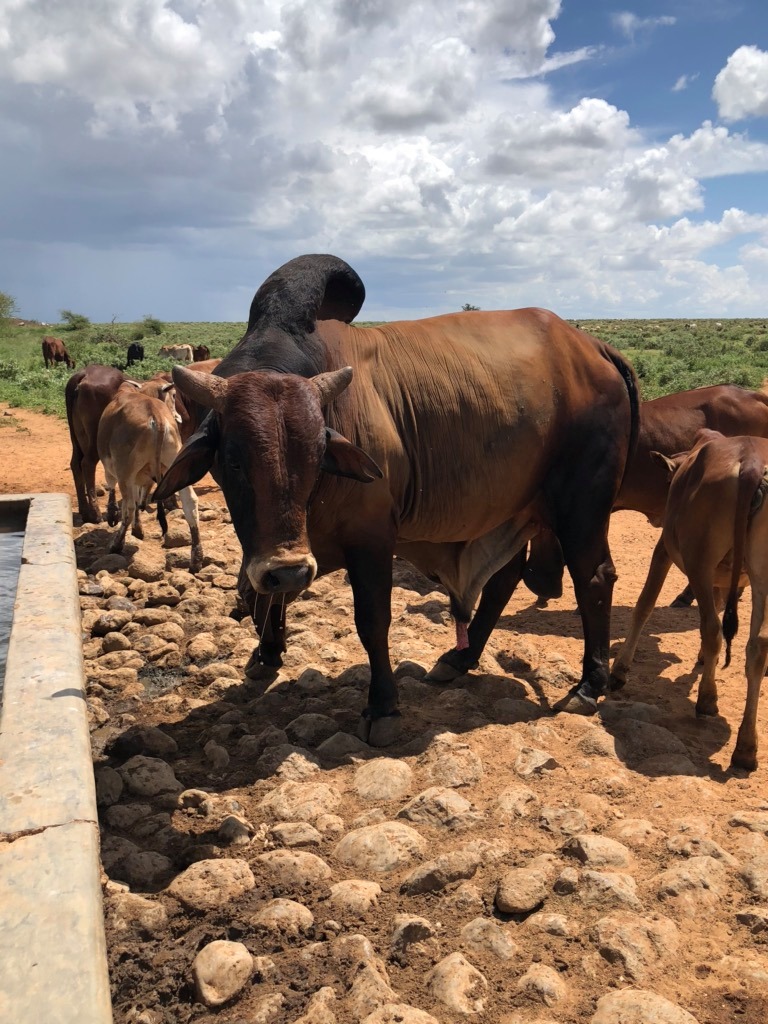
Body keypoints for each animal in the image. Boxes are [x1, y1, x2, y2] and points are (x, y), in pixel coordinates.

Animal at [65, 364, 125, 520]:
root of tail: (84, 374)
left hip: (77, 438)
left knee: (75, 463)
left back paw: (84, 510)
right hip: (95, 438)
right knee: (87, 464)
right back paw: (94, 513)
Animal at [97, 376, 202, 573]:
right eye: (173, 395)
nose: (178, 416)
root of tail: (157, 417)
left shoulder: (114, 469)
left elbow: (116, 491)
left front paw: (115, 515)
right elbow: (140, 498)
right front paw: (138, 529)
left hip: (125, 471)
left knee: (129, 508)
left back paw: (116, 544)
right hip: (175, 462)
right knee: (190, 503)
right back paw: (196, 558)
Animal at [154, 254, 638, 737]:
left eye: (317, 455)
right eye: (233, 461)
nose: (289, 570)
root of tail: (593, 346)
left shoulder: (370, 537)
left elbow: (372, 621)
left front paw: (383, 705)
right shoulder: (272, 550)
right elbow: (262, 595)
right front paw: (267, 653)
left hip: (582, 504)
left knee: (594, 577)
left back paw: (588, 685)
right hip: (515, 507)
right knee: (505, 579)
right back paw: (461, 658)